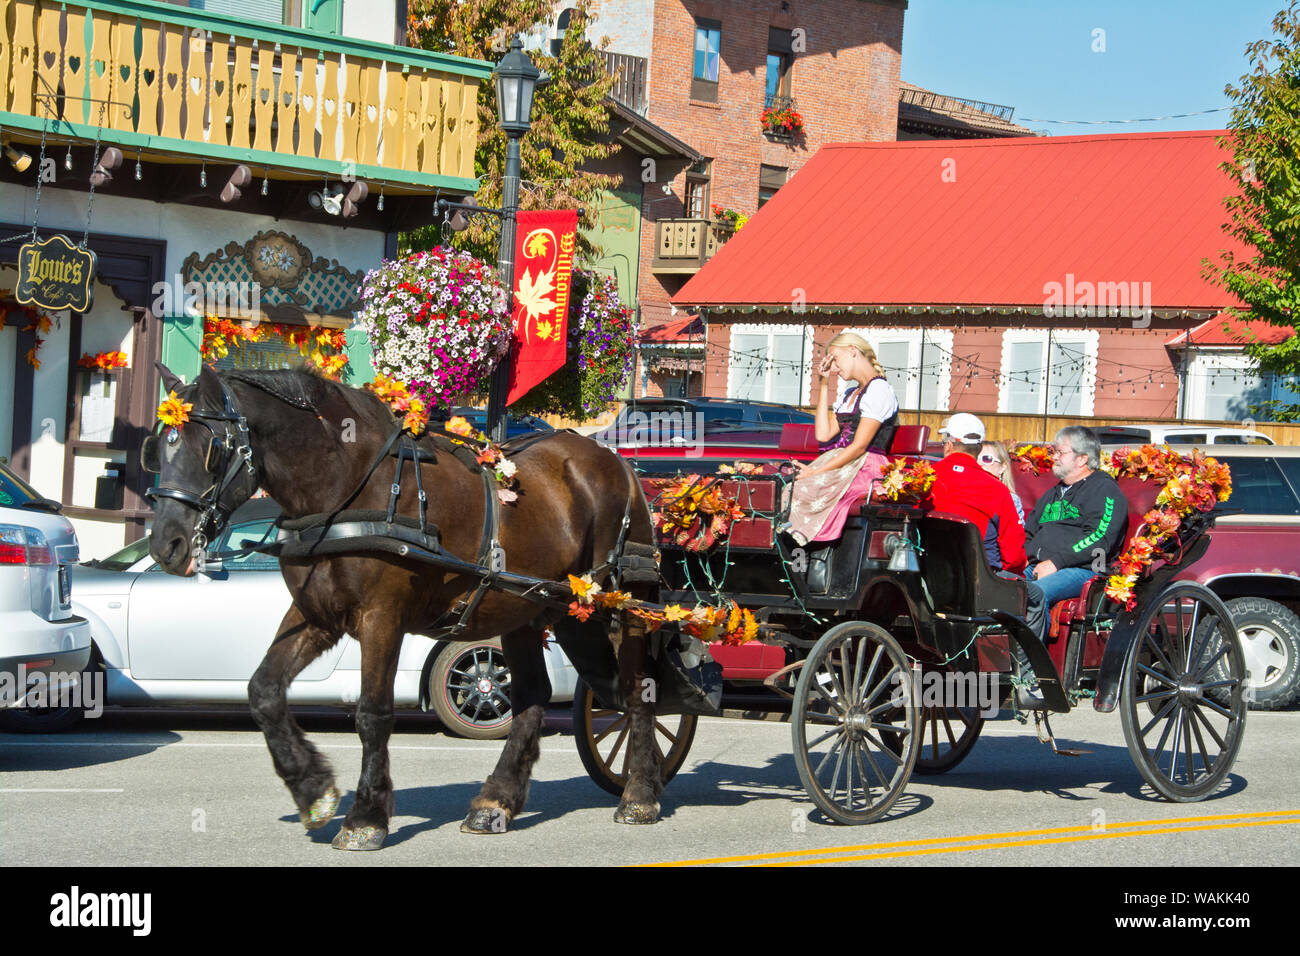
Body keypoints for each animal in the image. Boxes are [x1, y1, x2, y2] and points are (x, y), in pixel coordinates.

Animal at [147, 366, 665, 853]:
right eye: (157, 448)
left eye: (211, 448)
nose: (165, 545)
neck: (347, 486)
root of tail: (617, 464)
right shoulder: (316, 616)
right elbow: (263, 692)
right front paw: (313, 791)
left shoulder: (382, 618)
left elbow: (373, 714)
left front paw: (365, 819)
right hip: (528, 608)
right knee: (534, 697)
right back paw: (495, 802)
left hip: (625, 606)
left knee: (639, 691)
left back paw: (639, 794)